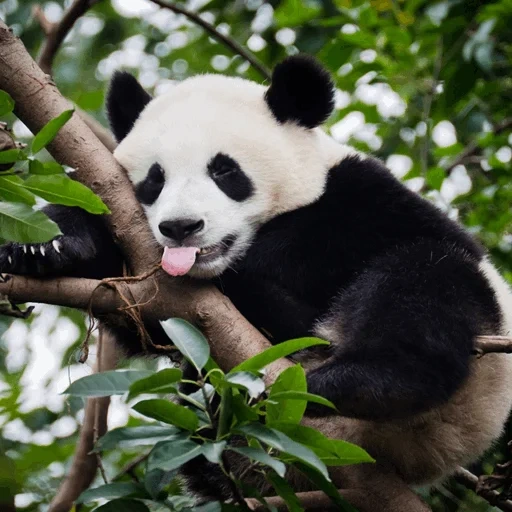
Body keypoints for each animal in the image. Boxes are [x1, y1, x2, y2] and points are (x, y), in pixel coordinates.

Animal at [3, 55, 512, 504]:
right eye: (155, 179)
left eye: (225, 170)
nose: (181, 227)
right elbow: (140, 314)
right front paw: (43, 247)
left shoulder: (363, 195)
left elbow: (356, 233)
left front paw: (259, 264)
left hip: (473, 383)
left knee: (425, 282)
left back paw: (355, 382)